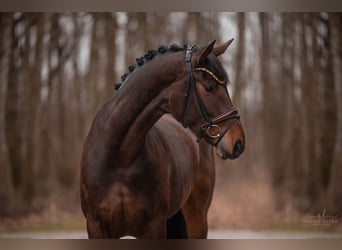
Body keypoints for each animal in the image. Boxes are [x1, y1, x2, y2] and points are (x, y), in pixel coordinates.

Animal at [80, 40, 246, 239]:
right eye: (210, 87)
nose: (238, 143)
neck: (119, 158)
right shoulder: (95, 226)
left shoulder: (155, 226)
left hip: (197, 218)